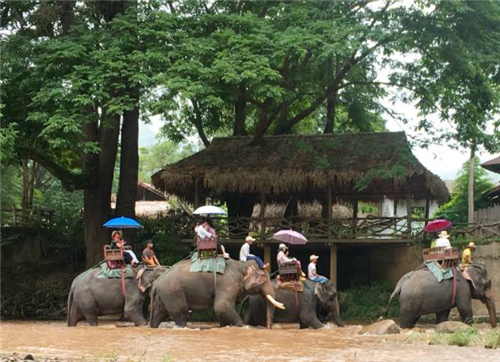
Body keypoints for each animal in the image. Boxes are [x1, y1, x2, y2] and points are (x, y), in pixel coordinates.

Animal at [149, 258, 286, 330]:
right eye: (264, 278)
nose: (268, 329)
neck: (241, 265)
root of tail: (156, 282)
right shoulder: (227, 283)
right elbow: (222, 306)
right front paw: (240, 326)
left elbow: (220, 310)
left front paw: (223, 326)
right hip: (173, 292)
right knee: (180, 313)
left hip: (163, 295)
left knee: (159, 314)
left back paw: (153, 327)